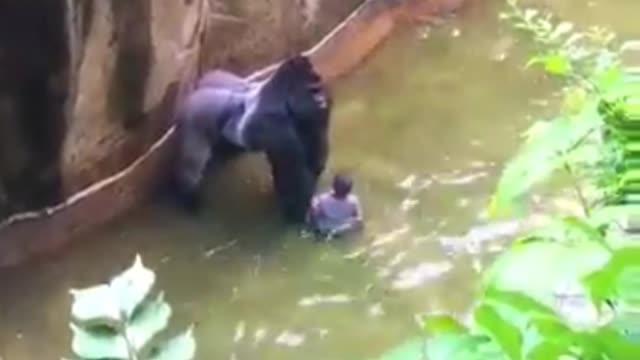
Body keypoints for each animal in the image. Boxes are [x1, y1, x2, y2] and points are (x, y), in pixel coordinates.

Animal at [171, 53, 330, 224]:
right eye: (312, 90)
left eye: (318, 88)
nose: (322, 101)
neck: (280, 96)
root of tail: (192, 94)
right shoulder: (275, 127)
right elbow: (293, 174)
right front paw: (298, 213)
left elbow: (312, 157)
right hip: (192, 120)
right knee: (191, 163)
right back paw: (188, 197)